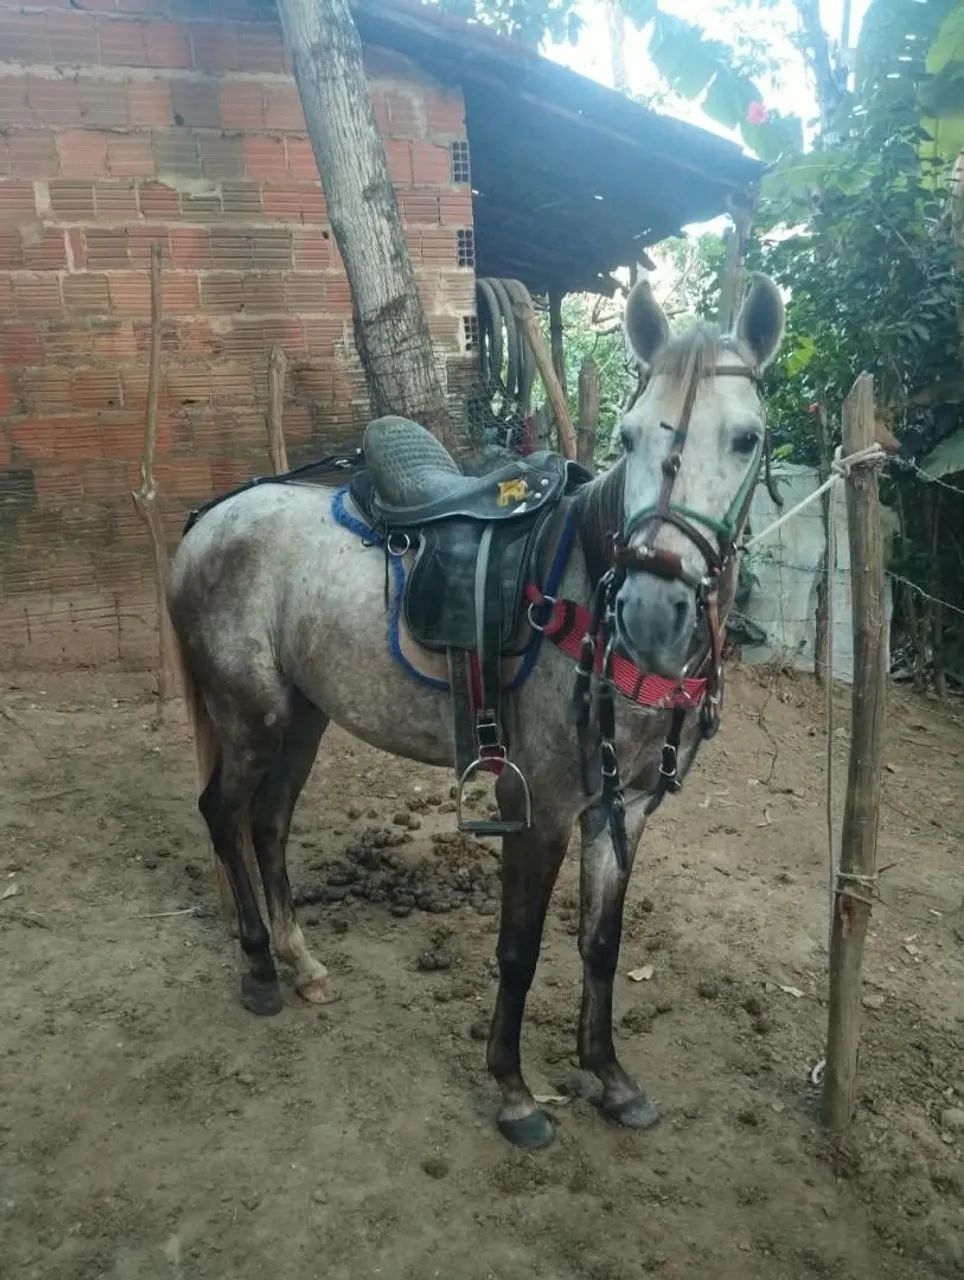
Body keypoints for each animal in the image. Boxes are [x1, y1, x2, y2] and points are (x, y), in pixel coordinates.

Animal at [166, 275, 785, 1149]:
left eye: (747, 438)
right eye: (628, 436)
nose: (651, 611)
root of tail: (209, 521)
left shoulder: (622, 809)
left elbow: (601, 943)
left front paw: (610, 1077)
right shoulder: (541, 808)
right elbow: (520, 949)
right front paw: (515, 1092)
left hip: (305, 715)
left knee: (268, 822)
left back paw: (302, 963)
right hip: (250, 715)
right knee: (223, 813)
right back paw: (257, 969)